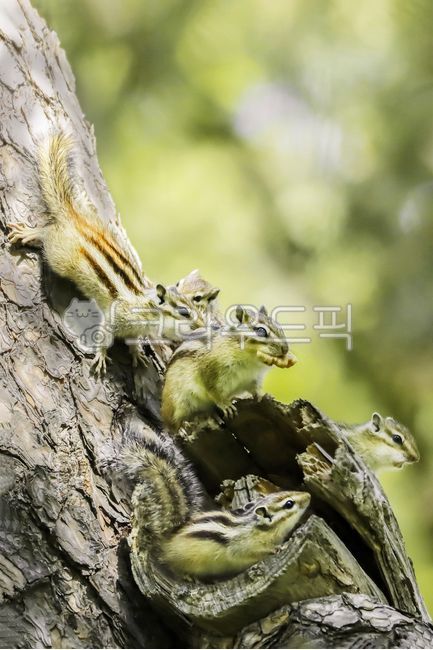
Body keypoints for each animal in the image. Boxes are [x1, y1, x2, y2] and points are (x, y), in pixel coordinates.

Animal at [7, 133, 204, 374]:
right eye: (185, 312)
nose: (203, 326)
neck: (146, 308)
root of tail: (74, 219)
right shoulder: (117, 317)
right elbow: (104, 333)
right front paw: (101, 356)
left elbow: (134, 341)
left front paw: (137, 353)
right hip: (58, 255)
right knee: (47, 232)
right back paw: (31, 232)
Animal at [115, 425, 311, 578]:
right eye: (289, 504)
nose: (308, 496)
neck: (259, 528)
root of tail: (166, 537)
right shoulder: (242, 547)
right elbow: (249, 554)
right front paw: (275, 549)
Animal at [161, 304, 297, 432]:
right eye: (261, 331)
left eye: (279, 327)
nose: (285, 349)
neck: (250, 359)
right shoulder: (209, 371)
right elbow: (213, 391)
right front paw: (225, 404)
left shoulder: (252, 378)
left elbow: (254, 388)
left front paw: (261, 395)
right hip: (179, 402)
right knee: (175, 424)